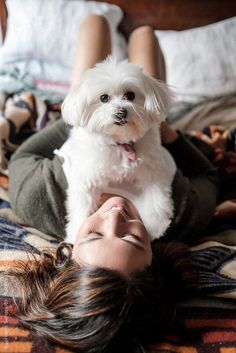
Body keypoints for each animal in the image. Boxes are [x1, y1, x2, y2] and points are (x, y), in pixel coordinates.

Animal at [56, 58, 176, 245]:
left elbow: (156, 198)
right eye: (104, 98)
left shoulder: (153, 172)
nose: (121, 112)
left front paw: (156, 226)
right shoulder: (86, 178)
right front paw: (76, 231)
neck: (120, 143)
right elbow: (82, 204)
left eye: (130, 95)